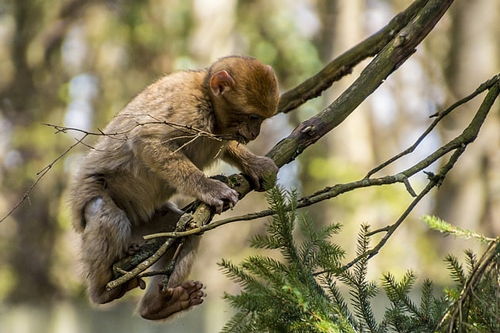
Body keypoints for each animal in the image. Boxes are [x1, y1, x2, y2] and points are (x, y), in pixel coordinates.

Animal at [69, 55, 282, 320]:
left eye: (260, 119)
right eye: (253, 117)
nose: (255, 133)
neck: (207, 99)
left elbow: (228, 146)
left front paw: (255, 164)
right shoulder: (187, 110)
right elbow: (147, 140)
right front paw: (211, 188)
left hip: (146, 225)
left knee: (185, 231)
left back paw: (157, 306)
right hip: (94, 196)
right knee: (106, 213)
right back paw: (102, 291)